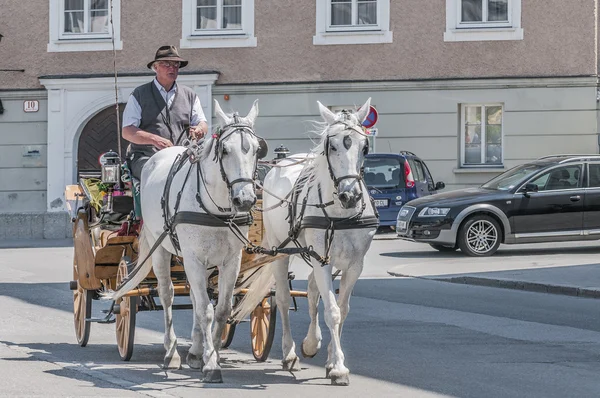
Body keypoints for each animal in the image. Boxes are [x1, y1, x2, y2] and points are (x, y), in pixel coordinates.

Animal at [103, 98, 264, 382]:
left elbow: (221, 310)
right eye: (225, 150)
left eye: (256, 149)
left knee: (194, 298)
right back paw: (172, 352)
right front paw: (211, 364)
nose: (245, 199)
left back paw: (195, 351)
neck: (217, 209)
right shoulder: (193, 258)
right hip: (161, 248)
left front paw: (210, 355)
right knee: (167, 294)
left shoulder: (230, 260)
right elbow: (206, 310)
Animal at [233, 98, 378, 386]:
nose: (350, 196)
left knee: (312, 290)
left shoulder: (354, 265)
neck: (340, 213)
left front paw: (333, 360)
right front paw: (339, 368)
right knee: (283, 300)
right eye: (331, 146)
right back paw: (289, 353)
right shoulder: (322, 260)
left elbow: (341, 309)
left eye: (364, 147)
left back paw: (311, 343)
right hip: (280, 251)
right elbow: (332, 311)